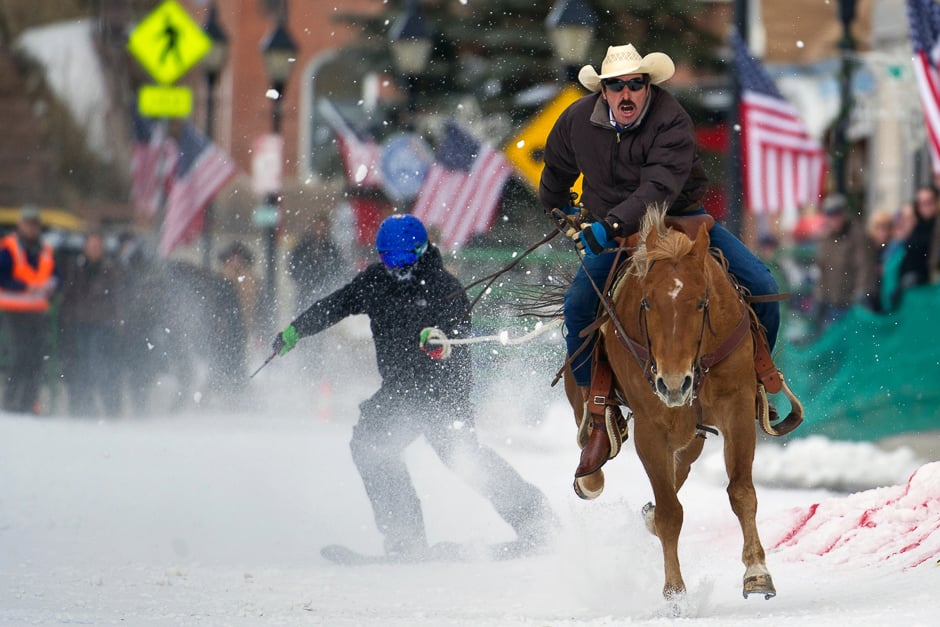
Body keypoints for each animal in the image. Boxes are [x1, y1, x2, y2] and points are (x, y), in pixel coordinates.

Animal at [564, 207, 772, 604]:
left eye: (702, 302)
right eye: (646, 302)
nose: (673, 384)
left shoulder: (737, 408)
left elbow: (741, 491)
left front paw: (757, 572)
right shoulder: (651, 429)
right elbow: (670, 513)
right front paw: (675, 591)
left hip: (692, 432)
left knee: (682, 467)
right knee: (590, 424)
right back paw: (592, 470)